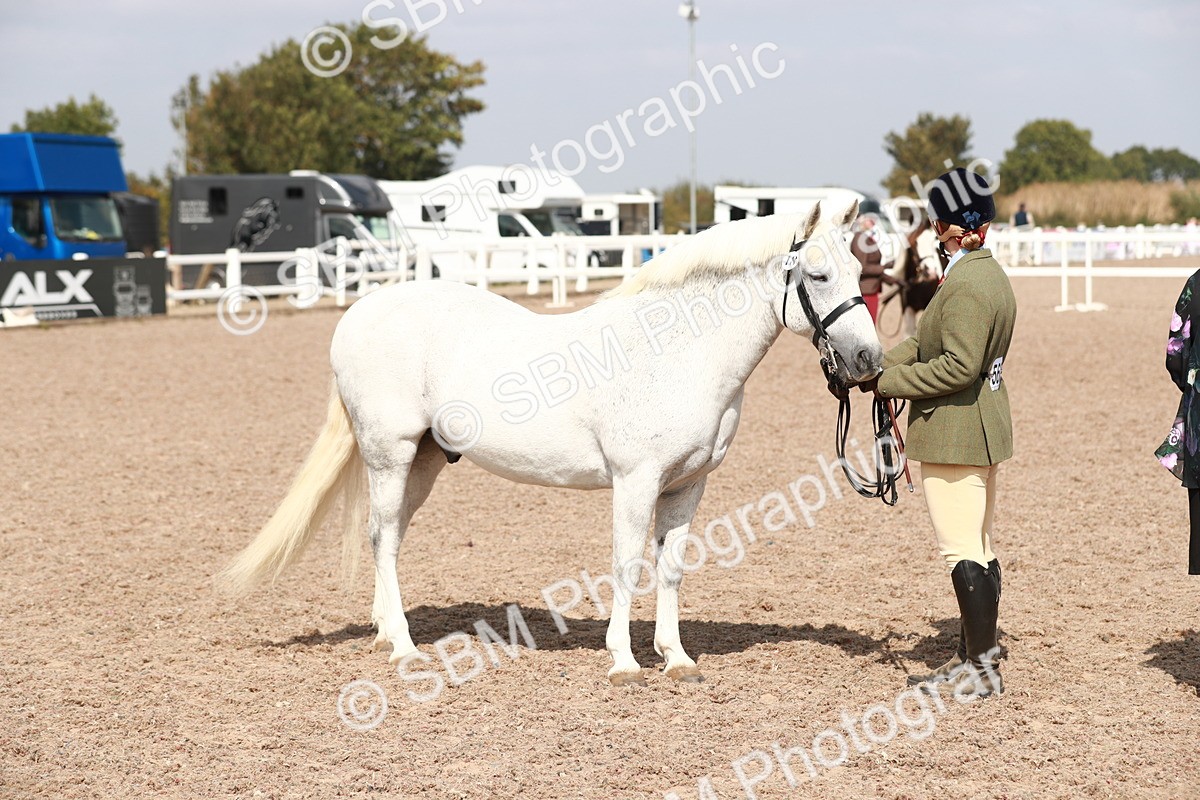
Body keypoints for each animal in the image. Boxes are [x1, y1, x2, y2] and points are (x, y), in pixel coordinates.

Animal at [221, 200, 884, 687]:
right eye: (818, 275)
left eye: (860, 274)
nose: (867, 361)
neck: (677, 352)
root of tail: (358, 313)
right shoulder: (635, 480)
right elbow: (627, 564)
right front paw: (624, 662)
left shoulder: (689, 484)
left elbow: (670, 567)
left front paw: (677, 659)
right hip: (391, 455)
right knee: (383, 539)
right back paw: (405, 649)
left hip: (424, 463)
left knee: (387, 535)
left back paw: (387, 630)